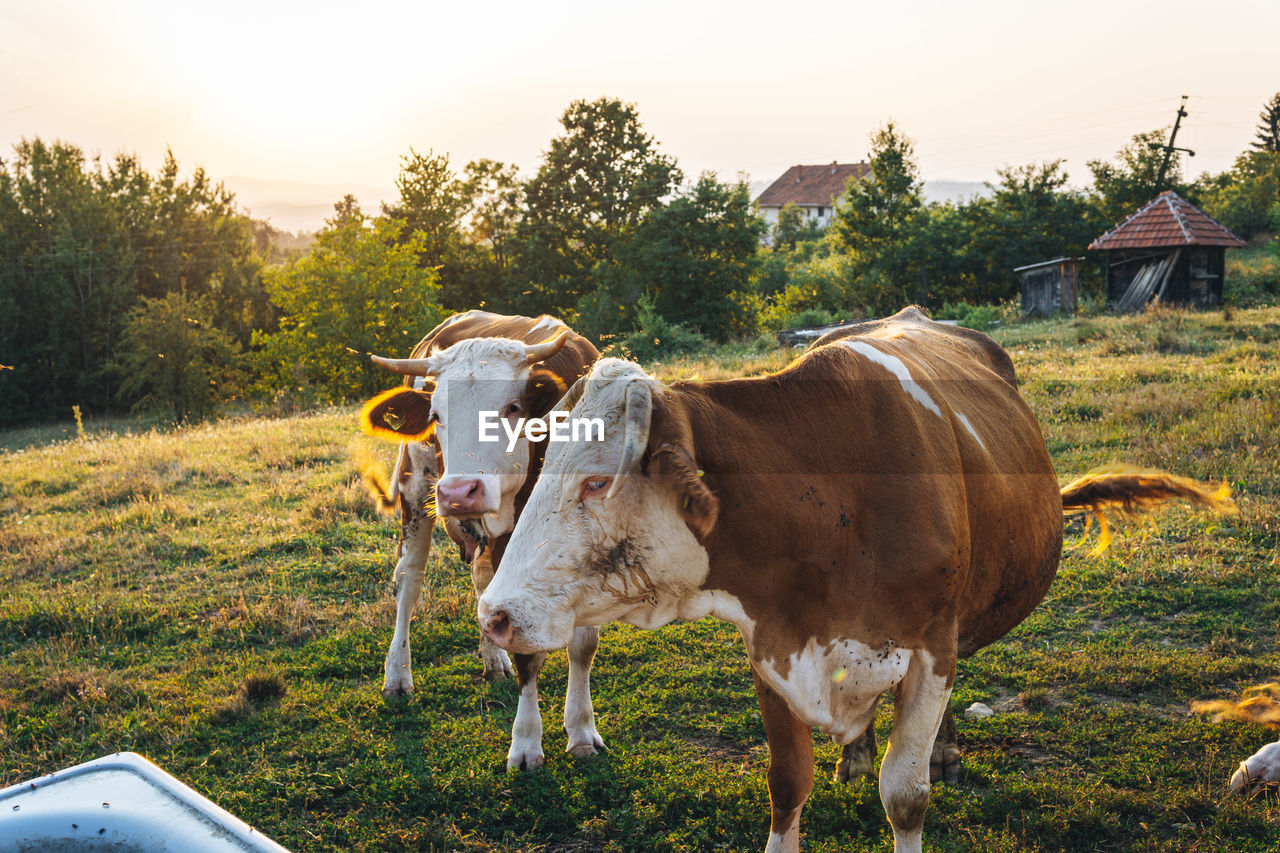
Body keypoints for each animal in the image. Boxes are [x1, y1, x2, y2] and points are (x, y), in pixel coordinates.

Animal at [358, 308, 601, 768]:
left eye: (512, 407)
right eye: (436, 416)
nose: (457, 492)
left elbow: (583, 644)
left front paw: (581, 731)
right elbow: (529, 655)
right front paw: (526, 743)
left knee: (482, 584)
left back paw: (493, 660)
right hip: (415, 490)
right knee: (408, 582)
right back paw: (397, 675)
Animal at [478, 307, 1228, 850]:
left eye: (597, 481)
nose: (494, 614)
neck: (831, 498)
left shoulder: (931, 649)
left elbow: (906, 795)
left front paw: (921, 768)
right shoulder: (771, 643)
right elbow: (787, 784)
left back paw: (938, 752)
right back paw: (858, 754)